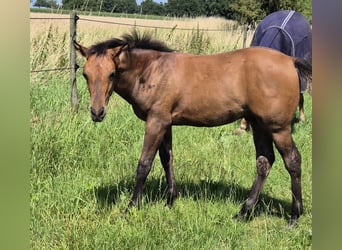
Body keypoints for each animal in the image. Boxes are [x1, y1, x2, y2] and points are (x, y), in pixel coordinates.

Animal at [75, 30, 312, 228]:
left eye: (112, 74)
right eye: (85, 74)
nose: (97, 112)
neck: (153, 70)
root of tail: (290, 60)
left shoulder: (156, 121)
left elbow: (144, 164)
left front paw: (131, 207)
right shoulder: (165, 122)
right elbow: (166, 158)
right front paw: (170, 200)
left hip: (278, 128)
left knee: (292, 161)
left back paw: (294, 217)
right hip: (259, 124)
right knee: (264, 161)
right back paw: (243, 212)